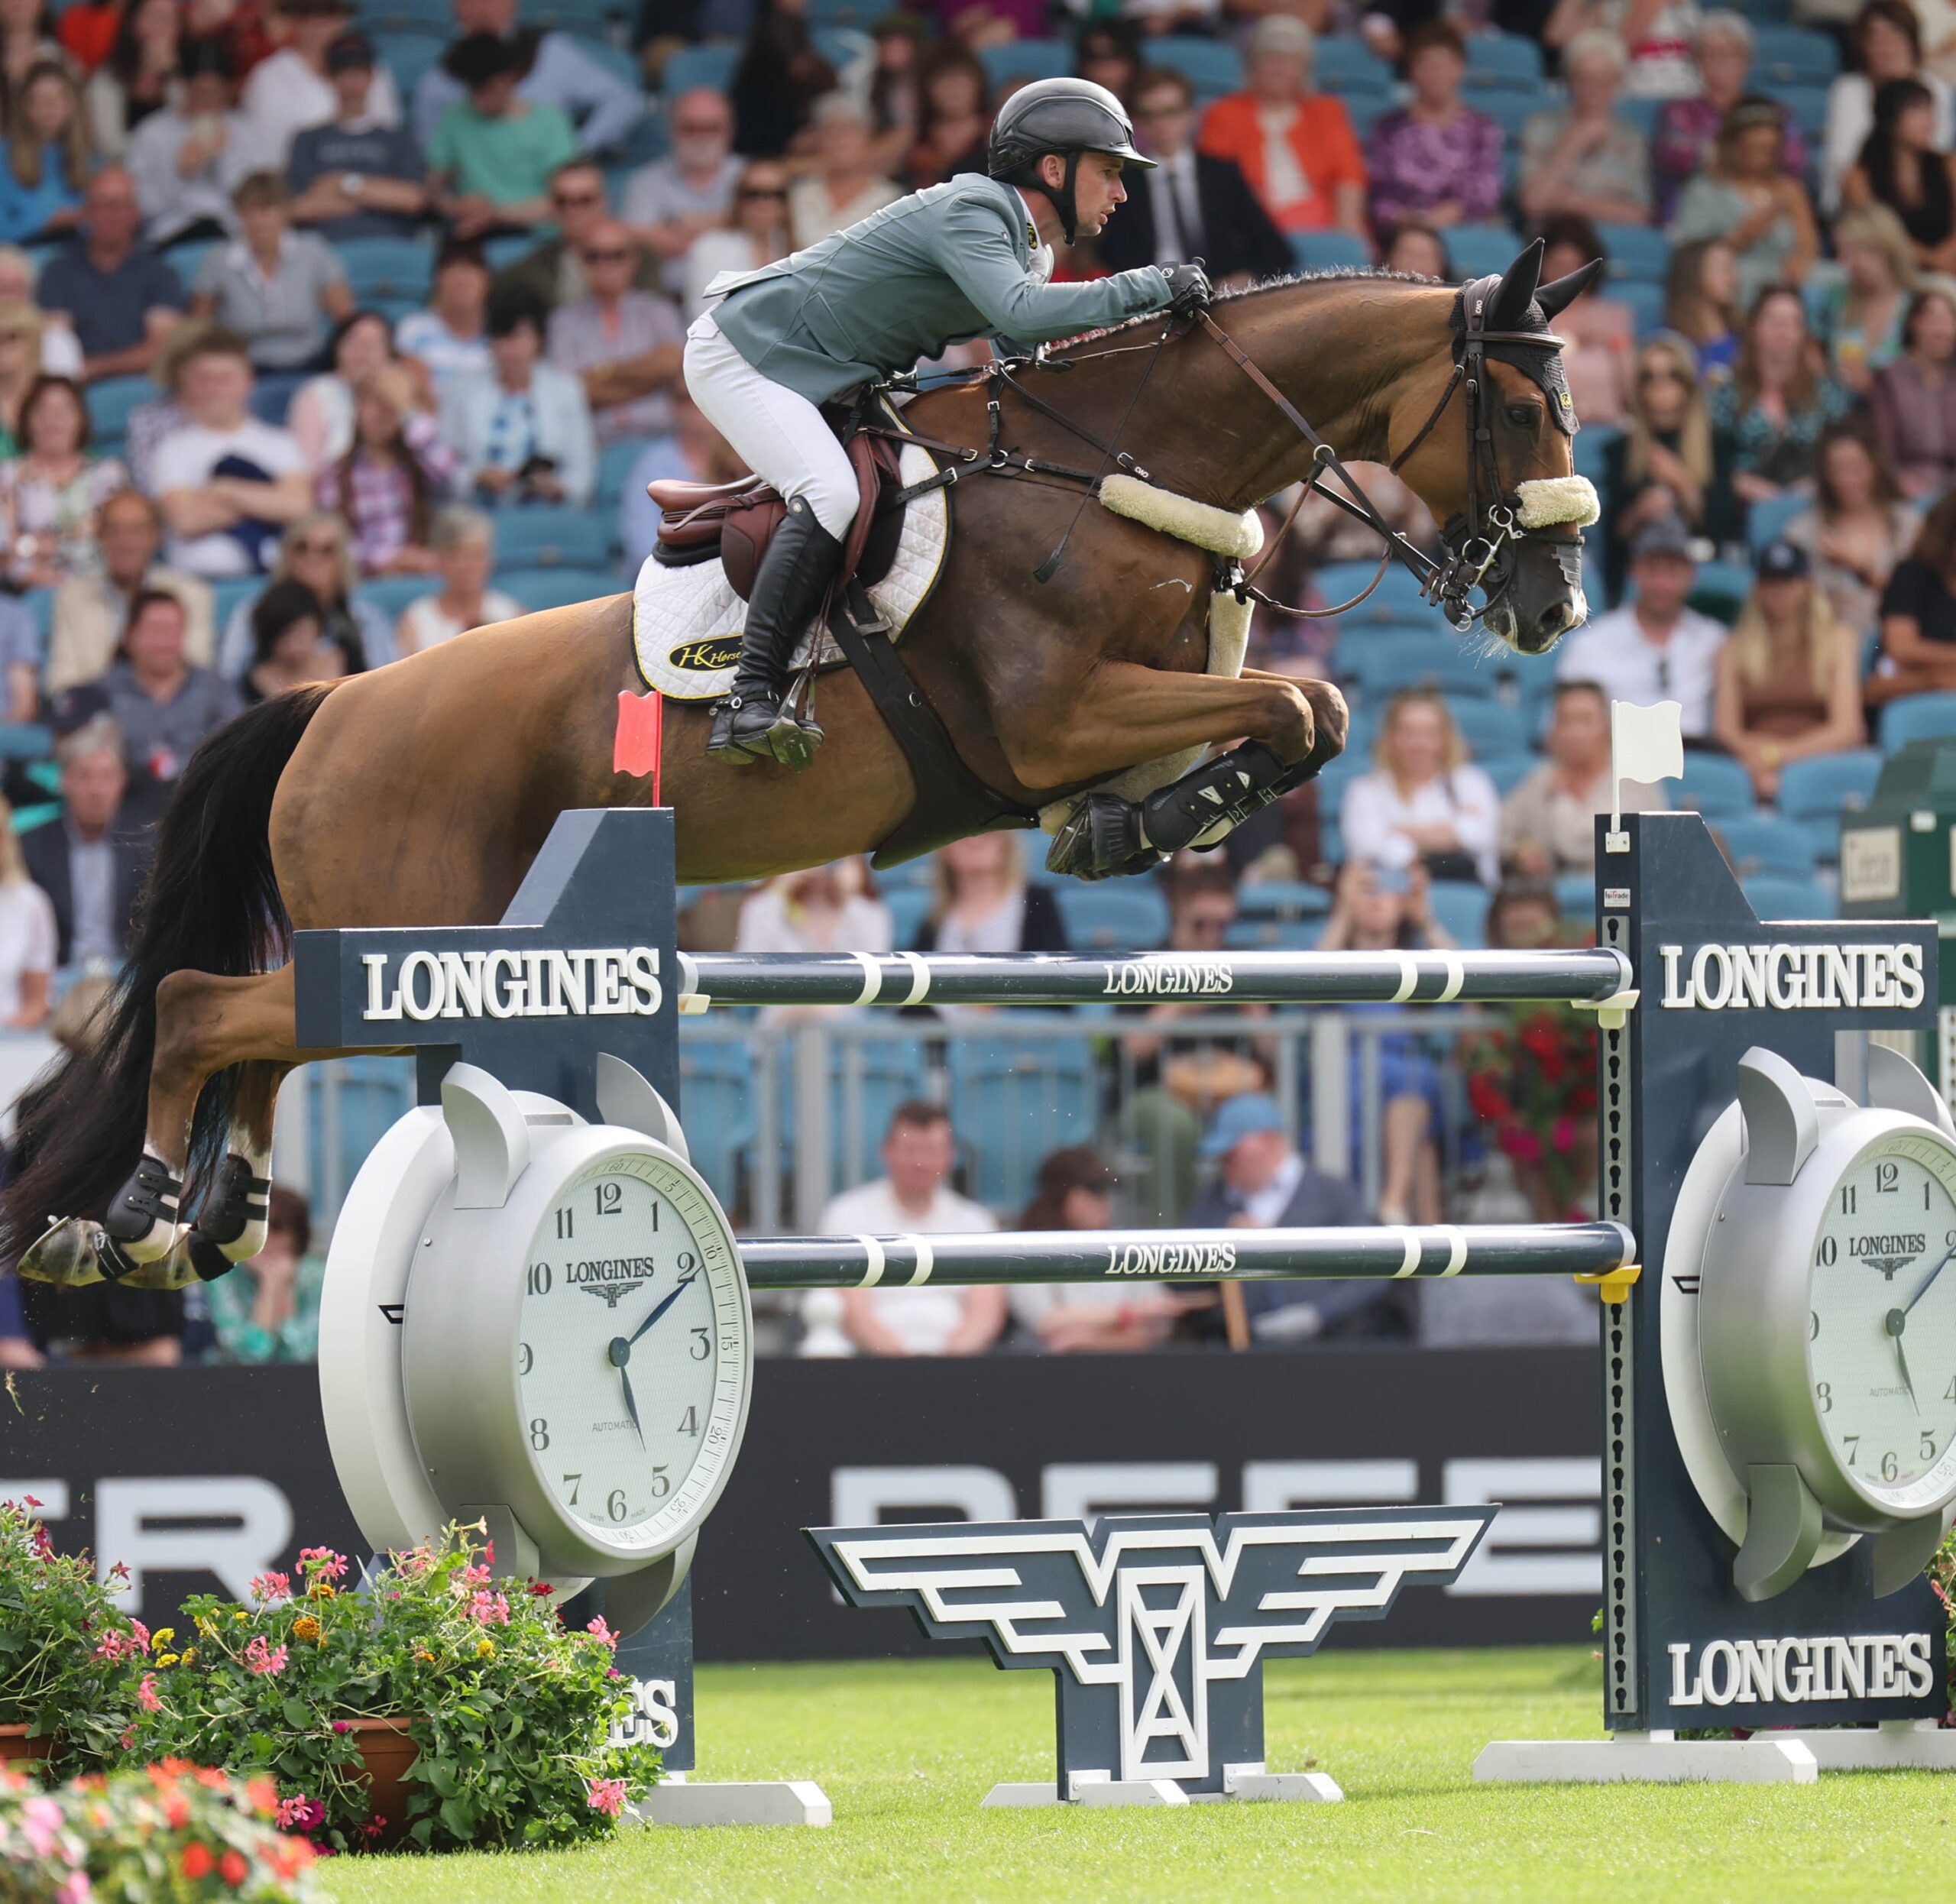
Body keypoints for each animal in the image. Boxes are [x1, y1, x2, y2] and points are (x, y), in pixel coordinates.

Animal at [8, 234, 1604, 1275]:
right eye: (1525, 408)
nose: (1552, 604)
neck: (1116, 467)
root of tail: (334, 699)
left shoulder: (1133, 701)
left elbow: (1299, 717)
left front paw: (1141, 823)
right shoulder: (1052, 719)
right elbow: (1293, 711)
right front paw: (1150, 818)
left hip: (423, 947)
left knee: (256, 1031)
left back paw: (212, 1206)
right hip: (407, 936)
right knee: (207, 1010)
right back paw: (140, 1204)